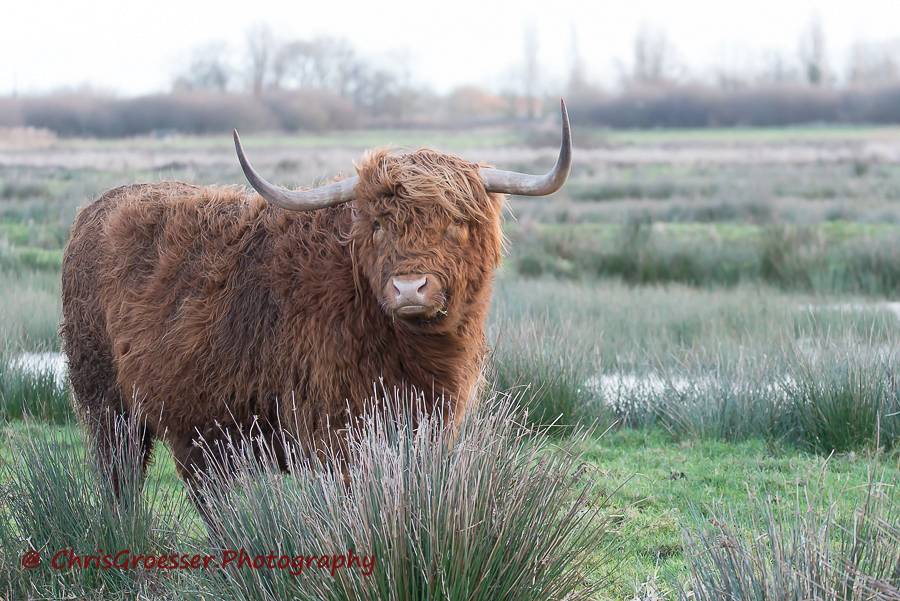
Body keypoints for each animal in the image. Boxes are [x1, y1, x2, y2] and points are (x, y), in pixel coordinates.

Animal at [59, 99, 572, 516]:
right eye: (379, 225)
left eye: (456, 223)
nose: (410, 288)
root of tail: (95, 209)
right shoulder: (337, 430)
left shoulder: (429, 424)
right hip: (107, 405)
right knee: (121, 478)